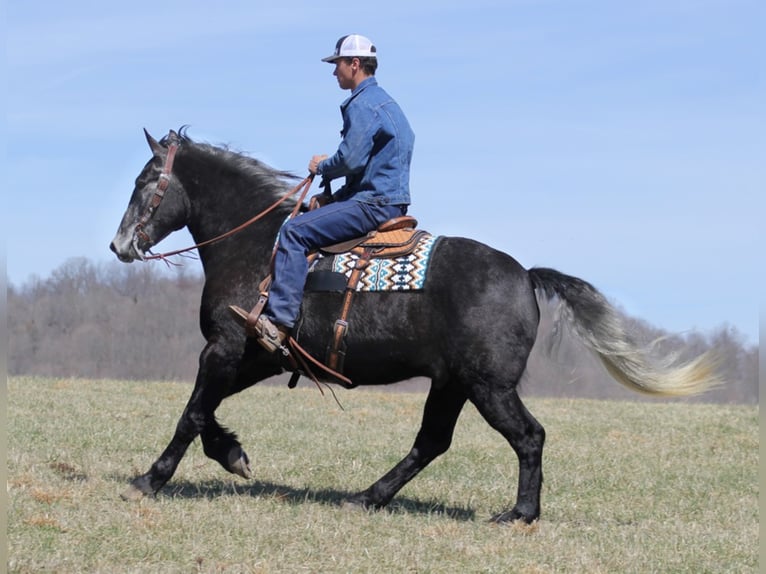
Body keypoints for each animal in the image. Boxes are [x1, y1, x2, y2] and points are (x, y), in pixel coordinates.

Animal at [111, 128, 724, 524]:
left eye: (145, 180)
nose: (120, 245)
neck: (257, 245)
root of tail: (525, 275)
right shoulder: (254, 355)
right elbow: (207, 410)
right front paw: (232, 454)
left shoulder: (225, 347)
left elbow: (193, 412)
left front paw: (151, 479)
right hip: (451, 383)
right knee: (431, 442)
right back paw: (368, 497)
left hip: (487, 385)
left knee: (528, 437)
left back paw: (520, 514)